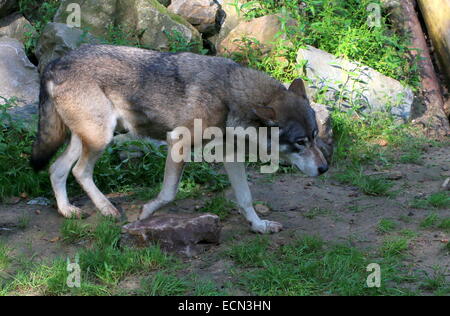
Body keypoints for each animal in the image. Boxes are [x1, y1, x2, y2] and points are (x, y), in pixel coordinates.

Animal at [30, 45, 326, 236]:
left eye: (315, 136)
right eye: (300, 142)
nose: (324, 168)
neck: (229, 98)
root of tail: (53, 64)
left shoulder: (231, 157)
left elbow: (245, 198)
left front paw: (259, 226)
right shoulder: (178, 142)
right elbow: (169, 193)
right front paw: (146, 214)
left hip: (89, 138)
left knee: (57, 169)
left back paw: (67, 210)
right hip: (101, 138)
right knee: (80, 171)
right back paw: (107, 209)